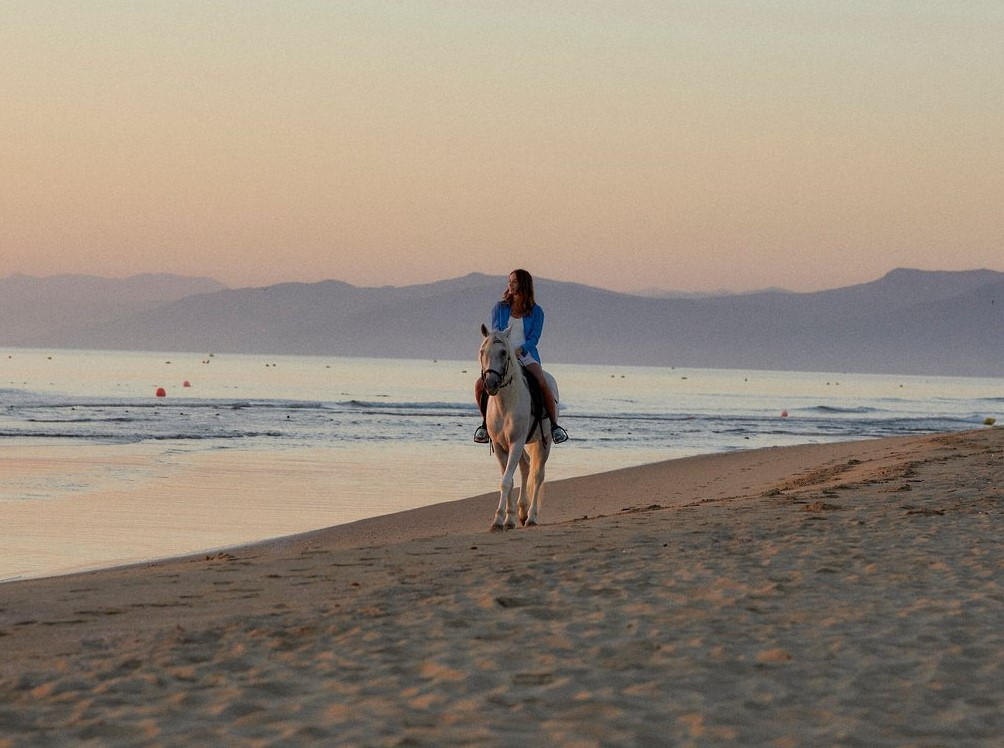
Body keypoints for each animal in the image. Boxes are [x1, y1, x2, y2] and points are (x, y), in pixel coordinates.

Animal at [477, 323, 558, 530]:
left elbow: (506, 481)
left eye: (504, 352)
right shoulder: (500, 445)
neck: (505, 403)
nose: (490, 383)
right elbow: (508, 479)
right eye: (482, 351)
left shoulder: (516, 442)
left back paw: (531, 517)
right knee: (526, 467)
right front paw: (507, 518)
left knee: (537, 475)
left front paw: (499, 521)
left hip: (544, 442)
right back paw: (522, 512)